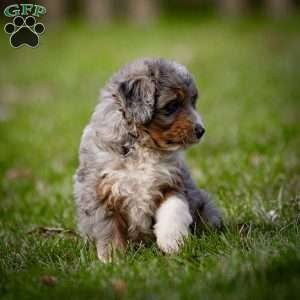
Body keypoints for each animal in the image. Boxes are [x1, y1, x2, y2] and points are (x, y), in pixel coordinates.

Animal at [74, 57, 221, 262]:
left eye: (193, 102)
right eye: (172, 106)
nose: (201, 131)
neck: (143, 148)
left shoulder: (173, 182)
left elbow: (173, 209)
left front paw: (173, 243)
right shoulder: (100, 192)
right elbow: (109, 229)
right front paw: (112, 259)